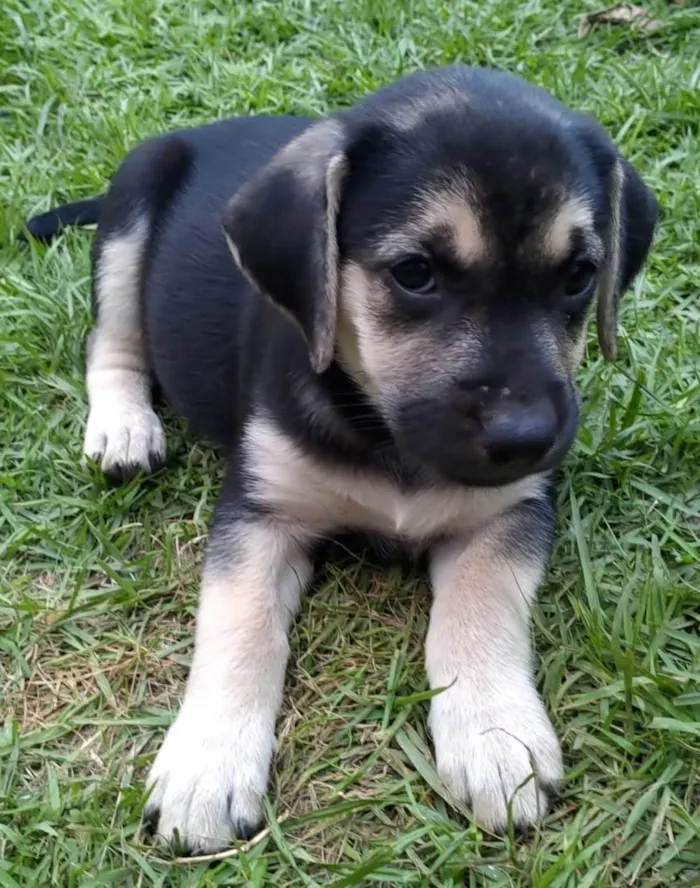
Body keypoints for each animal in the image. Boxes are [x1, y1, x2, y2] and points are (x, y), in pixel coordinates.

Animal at [21, 66, 656, 856]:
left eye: (578, 276)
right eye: (414, 273)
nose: (526, 437)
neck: (384, 434)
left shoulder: (510, 513)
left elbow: (482, 609)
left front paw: (494, 734)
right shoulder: (259, 514)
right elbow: (238, 626)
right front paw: (207, 765)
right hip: (129, 218)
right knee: (110, 341)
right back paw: (123, 428)